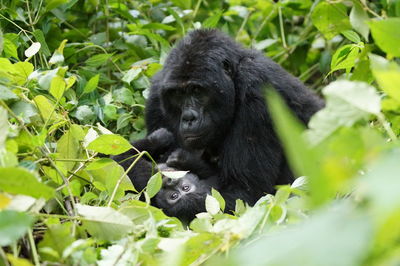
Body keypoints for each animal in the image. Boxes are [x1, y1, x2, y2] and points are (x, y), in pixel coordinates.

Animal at [145, 28, 324, 208]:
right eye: (177, 94)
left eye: (197, 90)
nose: (189, 118)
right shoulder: (156, 93)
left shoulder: (257, 85)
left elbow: (246, 194)